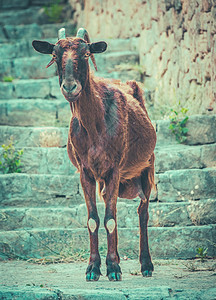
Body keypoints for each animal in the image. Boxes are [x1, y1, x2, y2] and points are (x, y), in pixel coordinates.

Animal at [32, 27, 156, 282]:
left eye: (87, 53)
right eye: (55, 54)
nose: (70, 87)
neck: (95, 124)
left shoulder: (114, 169)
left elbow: (110, 220)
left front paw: (114, 269)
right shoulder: (85, 172)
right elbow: (94, 220)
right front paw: (94, 268)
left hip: (147, 167)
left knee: (143, 212)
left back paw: (146, 265)